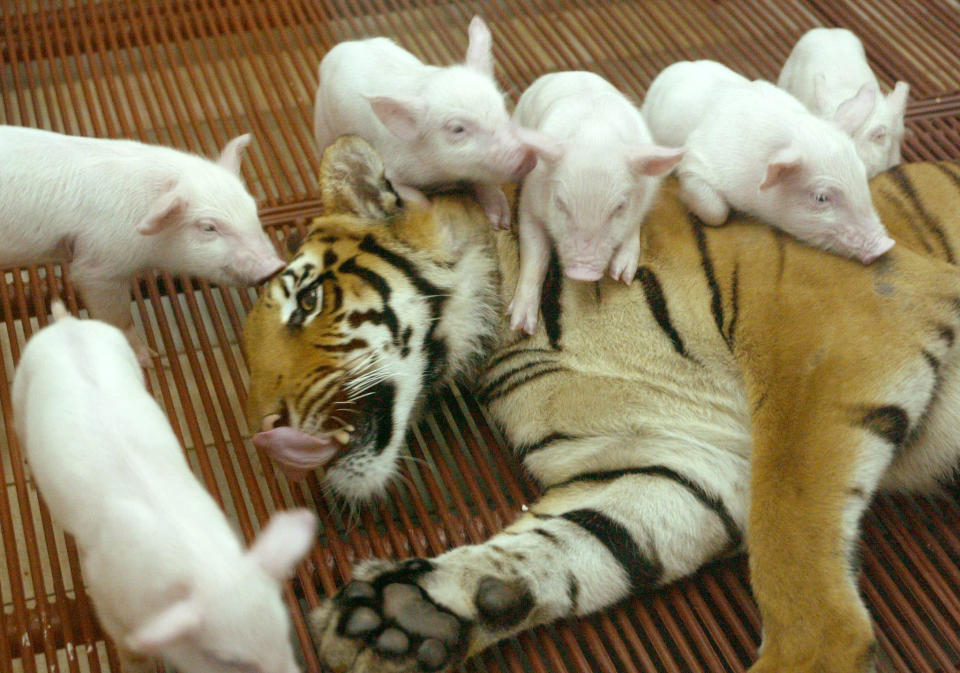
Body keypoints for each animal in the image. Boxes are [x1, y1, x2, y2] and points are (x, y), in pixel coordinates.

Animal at [242, 135, 960, 672]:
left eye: (306, 299)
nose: (267, 431)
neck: (506, 332)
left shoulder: (833, 323)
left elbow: (791, 531)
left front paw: (807, 658)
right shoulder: (682, 453)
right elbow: (583, 536)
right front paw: (405, 613)